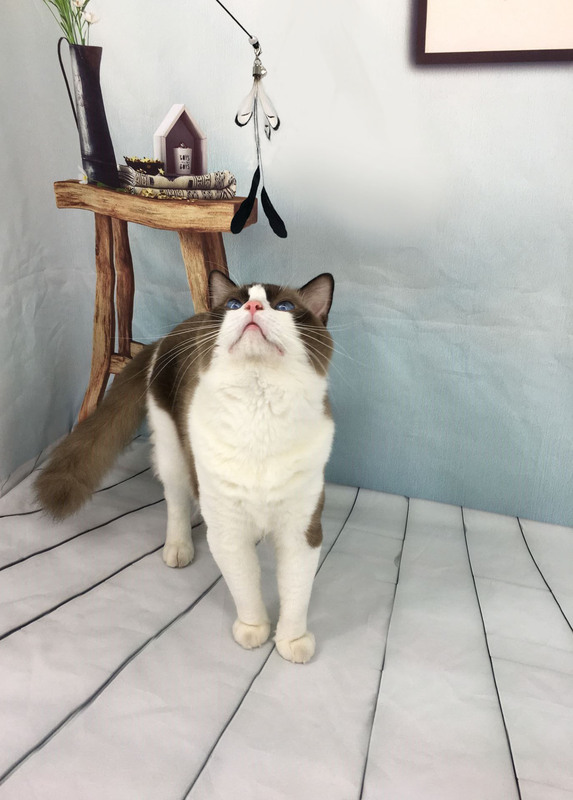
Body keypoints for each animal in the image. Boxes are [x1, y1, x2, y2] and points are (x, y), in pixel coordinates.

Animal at [35, 269, 335, 663]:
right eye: (234, 305)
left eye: (284, 307)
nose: (253, 308)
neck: (259, 414)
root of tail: (168, 335)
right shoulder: (227, 528)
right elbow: (246, 587)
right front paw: (253, 630)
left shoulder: (301, 527)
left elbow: (296, 591)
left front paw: (292, 640)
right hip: (173, 454)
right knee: (176, 503)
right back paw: (179, 549)